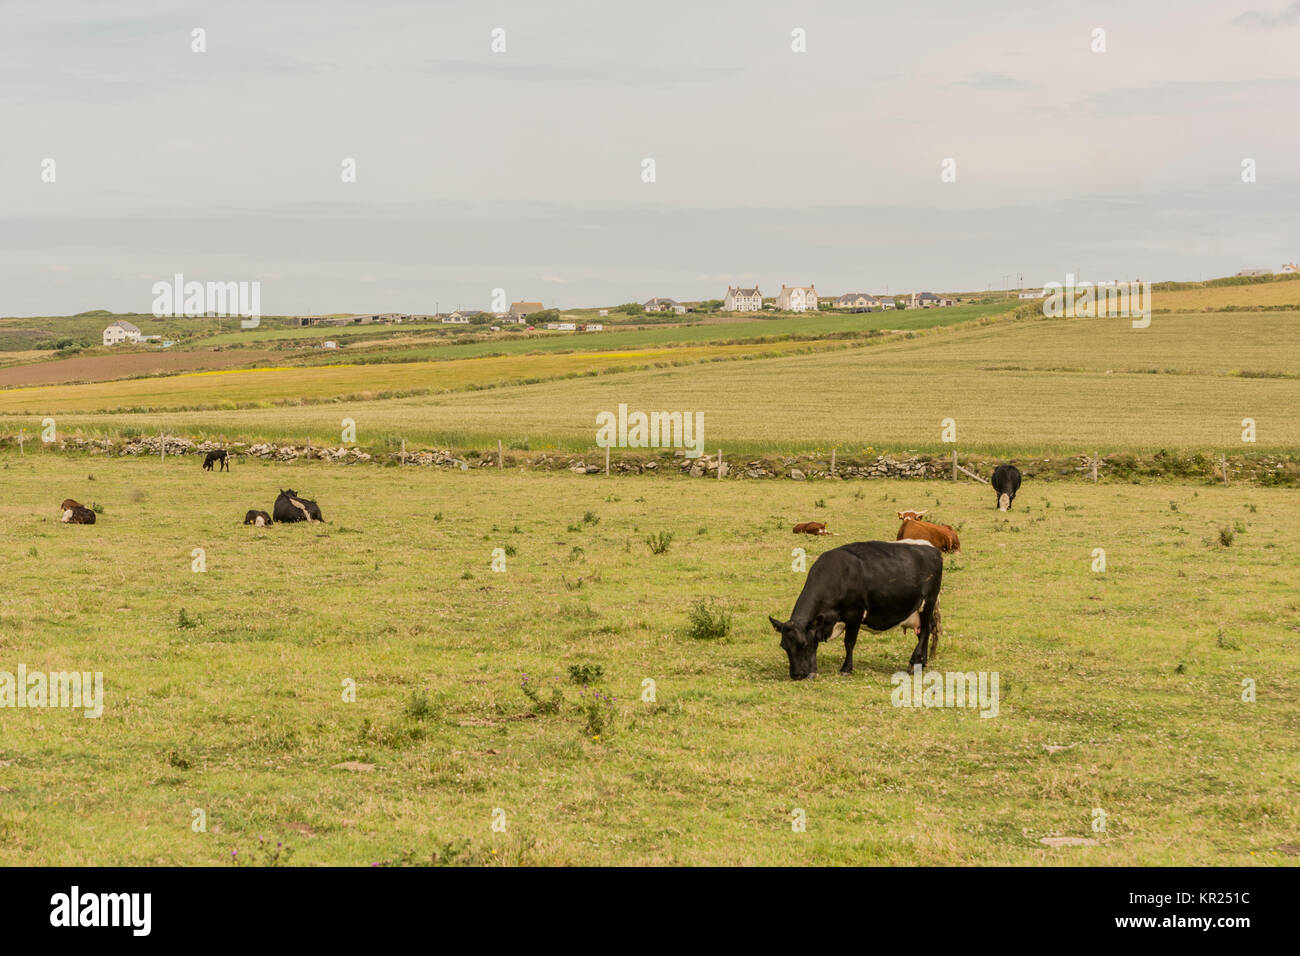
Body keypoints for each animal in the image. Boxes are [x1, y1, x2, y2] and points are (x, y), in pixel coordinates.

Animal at [764, 538, 941, 681]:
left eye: (802, 644)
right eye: (784, 646)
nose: (796, 675)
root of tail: (932, 549)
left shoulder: (855, 614)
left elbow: (849, 643)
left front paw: (846, 669)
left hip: (928, 601)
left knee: (925, 631)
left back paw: (913, 663)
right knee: (924, 631)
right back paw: (922, 663)